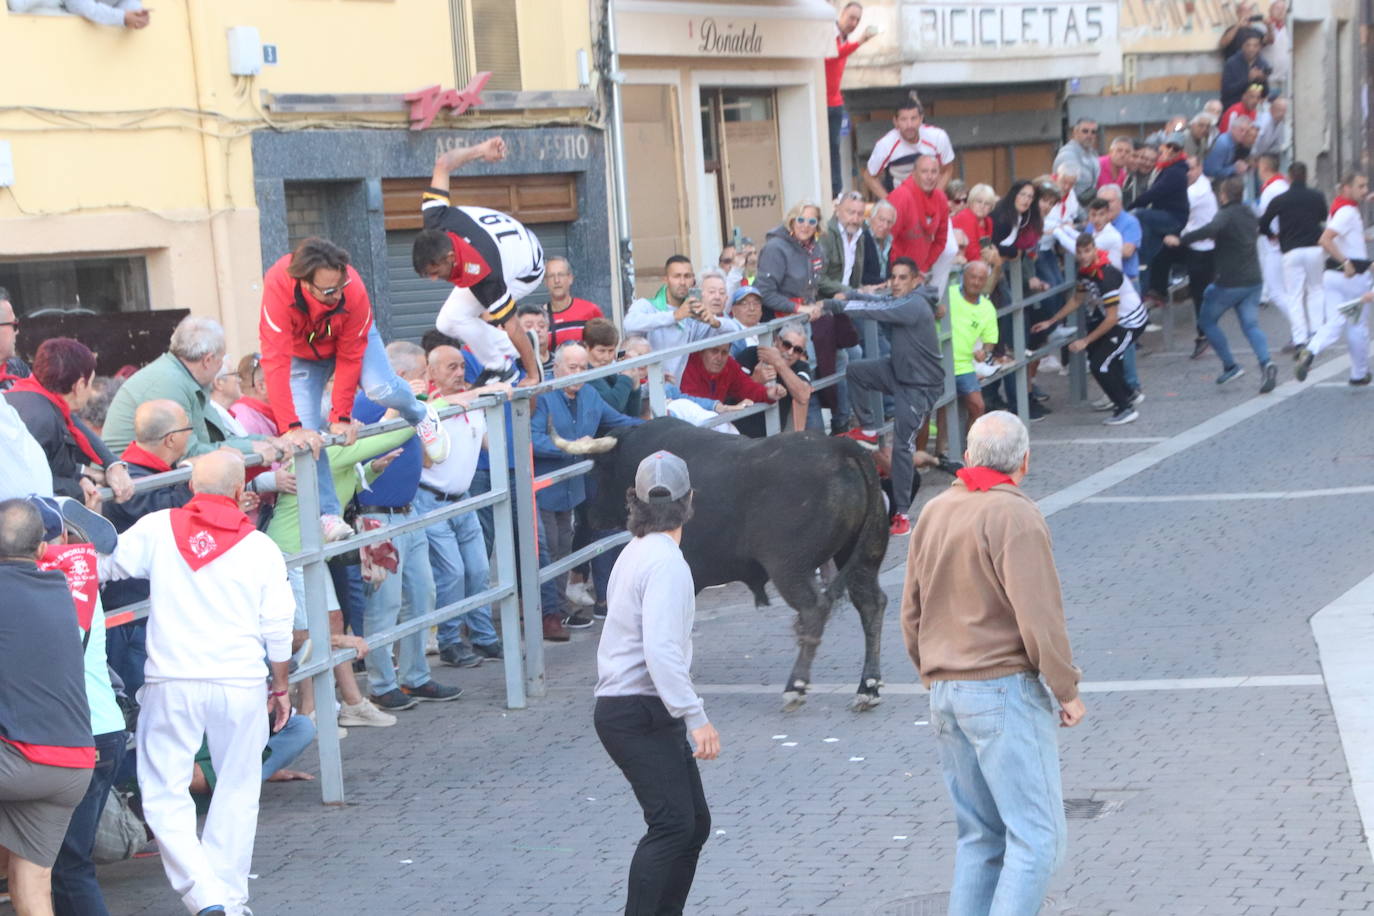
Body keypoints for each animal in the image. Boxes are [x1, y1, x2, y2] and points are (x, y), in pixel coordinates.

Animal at [582, 420, 890, 714]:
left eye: (600, 470)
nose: (589, 516)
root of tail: (839, 448)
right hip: (863, 555)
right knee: (871, 603)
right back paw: (868, 688)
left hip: (790, 567)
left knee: (815, 608)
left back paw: (796, 686)